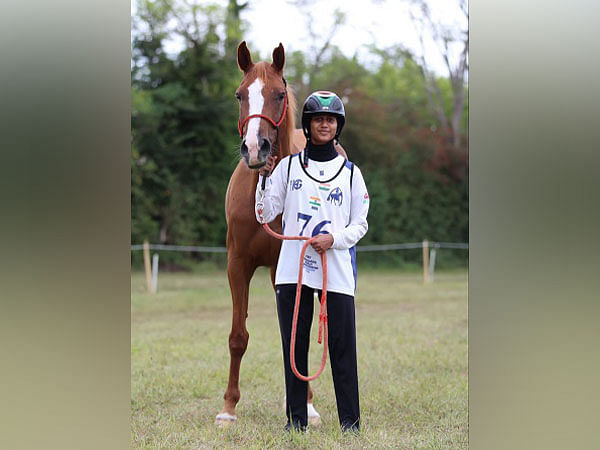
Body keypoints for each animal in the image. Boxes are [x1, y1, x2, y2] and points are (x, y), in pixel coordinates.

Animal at [216, 39, 346, 426]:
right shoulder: (237, 264)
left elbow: (293, 334)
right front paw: (228, 408)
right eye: (240, 95)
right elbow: (238, 336)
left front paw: (305, 405)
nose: (254, 149)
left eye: (277, 94)